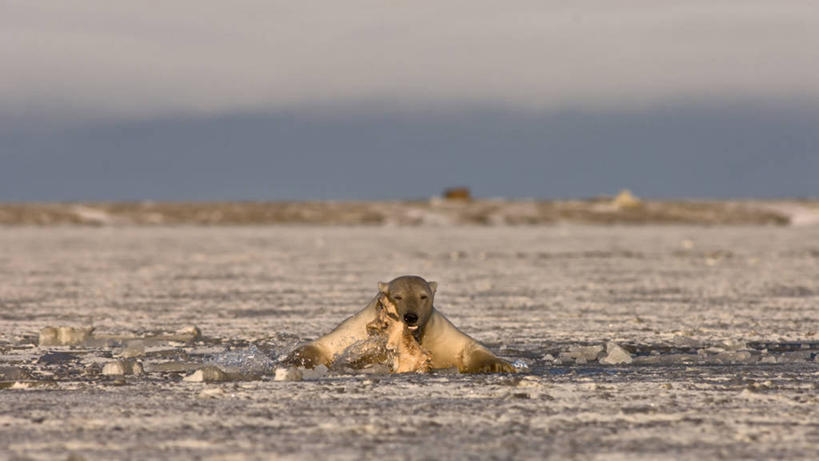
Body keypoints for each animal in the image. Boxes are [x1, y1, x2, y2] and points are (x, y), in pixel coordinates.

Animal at [282, 274, 512, 372]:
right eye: (398, 296)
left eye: (423, 296)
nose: (410, 316)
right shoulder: (356, 331)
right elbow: (325, 346)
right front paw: (298, 361)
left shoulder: (439, 333)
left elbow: (468, 346)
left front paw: (499, 365)